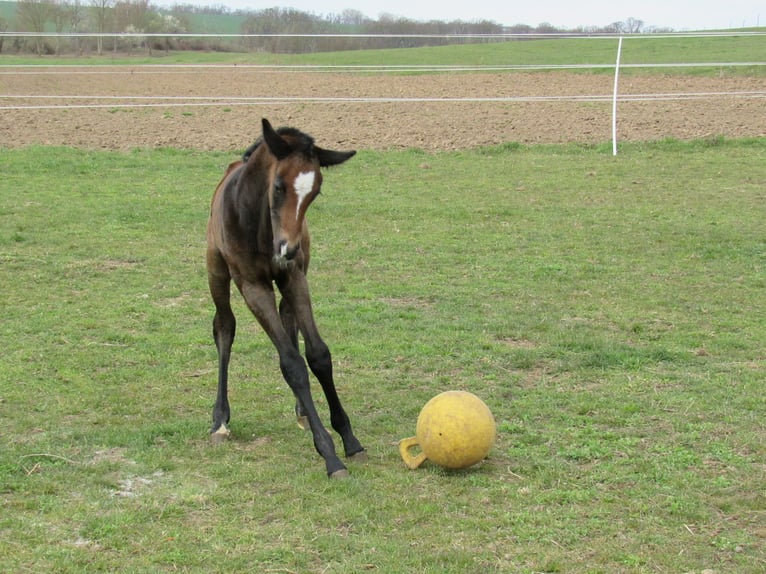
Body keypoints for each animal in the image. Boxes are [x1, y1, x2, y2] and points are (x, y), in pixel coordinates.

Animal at [206, 118, 366, 478]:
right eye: (278, 186)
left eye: (315, 192)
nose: (287, 249)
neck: (258, 224)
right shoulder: (253, 286)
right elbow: (291, 363)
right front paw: (330, 455)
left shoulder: (294, 277)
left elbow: (318, 355)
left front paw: (349, 439)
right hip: (216, 271)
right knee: (224, 326)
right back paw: (220, 420)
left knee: (288, 318)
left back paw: (302, 410)